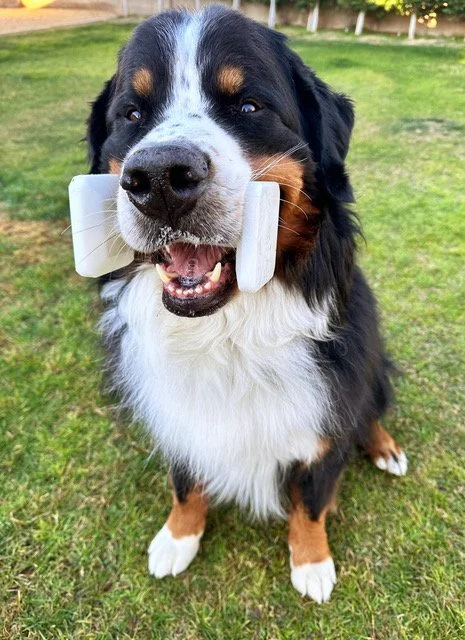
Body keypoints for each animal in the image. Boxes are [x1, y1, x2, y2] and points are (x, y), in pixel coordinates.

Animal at [87, 6, 408, 603]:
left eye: (249, 106)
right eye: (132, 113)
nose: (159, 178)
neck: (230, 332)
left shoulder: (326, 411)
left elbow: (311, 500)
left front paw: (311, 563)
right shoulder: (179, 416)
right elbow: (184, 482)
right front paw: (178, 537)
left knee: (372, 409)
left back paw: (385, 449)